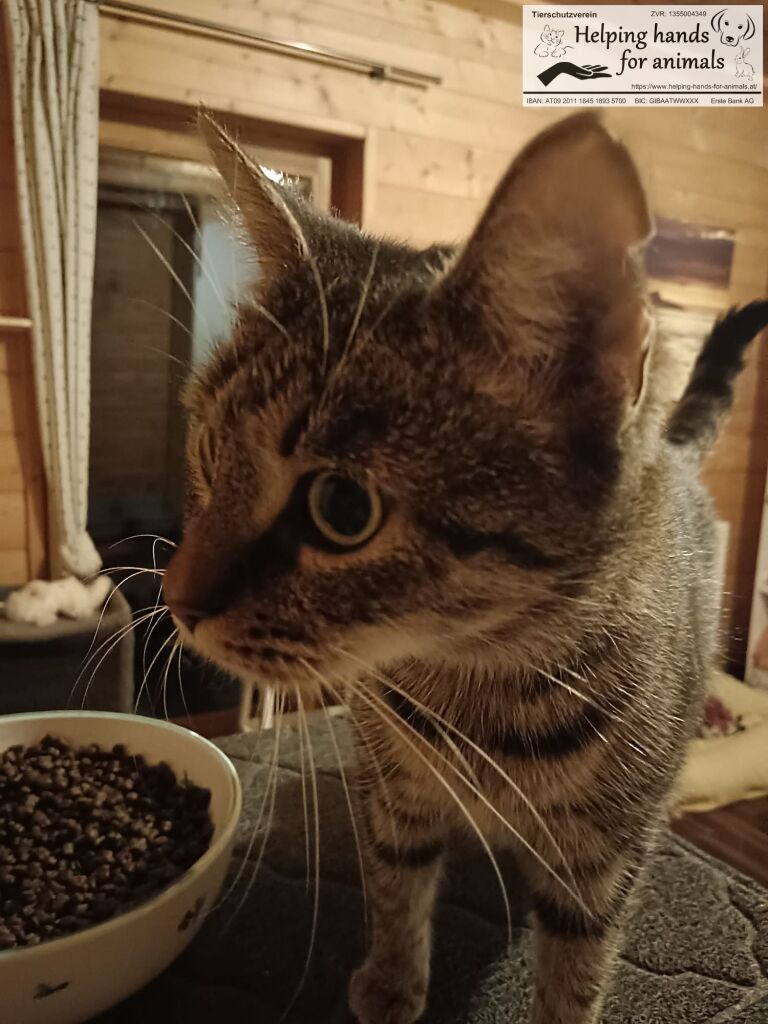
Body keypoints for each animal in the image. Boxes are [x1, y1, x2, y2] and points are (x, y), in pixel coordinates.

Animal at [163, 111, 768, 1024]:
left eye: (342, 510)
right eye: (205, 453)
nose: (174, 599)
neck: (480, 681)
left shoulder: (602, 857)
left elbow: (576, 972)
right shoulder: (393, 792)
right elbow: (395, 888)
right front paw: (391, 981)